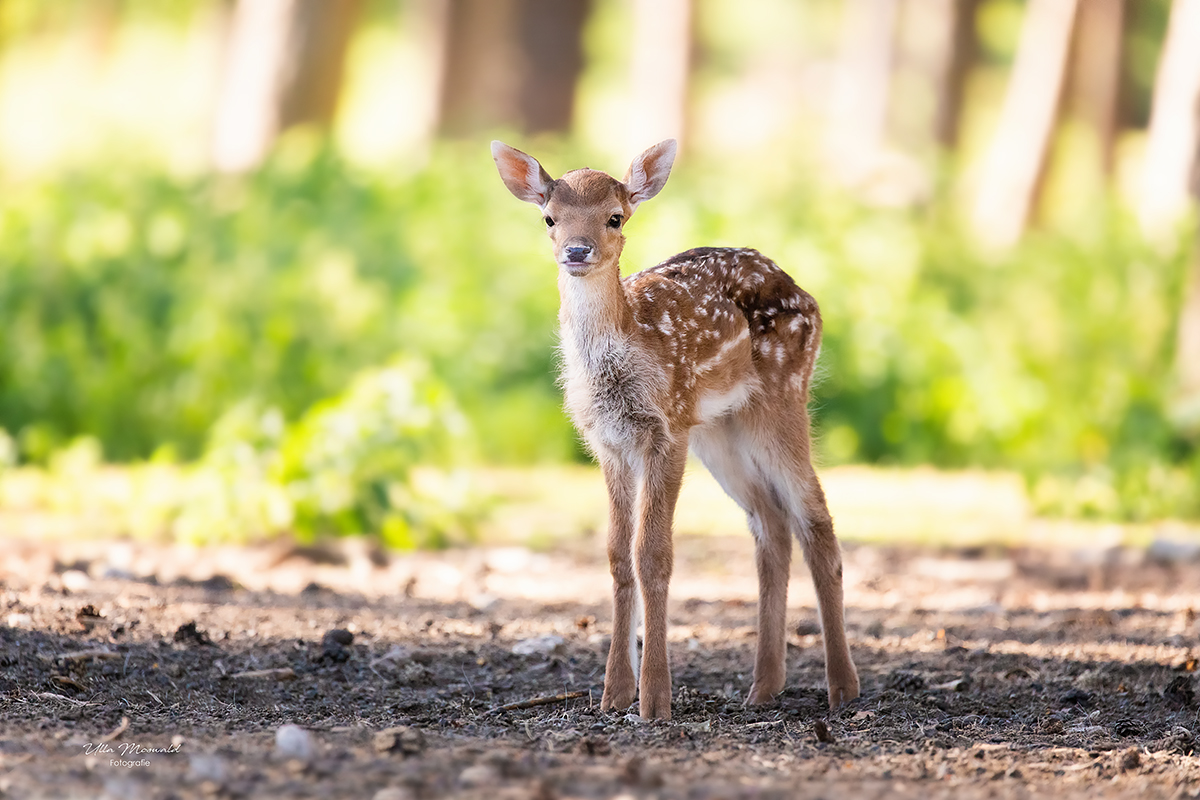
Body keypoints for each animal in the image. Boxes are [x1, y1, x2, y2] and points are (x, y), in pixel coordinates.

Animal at [492, 137, 859, 719]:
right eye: (549, 217)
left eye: (615, 217)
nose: (577, 251)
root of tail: (808, 295)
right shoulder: (611, 443)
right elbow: (617, 555)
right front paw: (614, 694)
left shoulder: (668, 429)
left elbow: (654, 554)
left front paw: (655, 701)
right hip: (721, 432)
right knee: (771, 522)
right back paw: (763, 688)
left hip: (781, 399)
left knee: (815, 520)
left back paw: (843, 689)